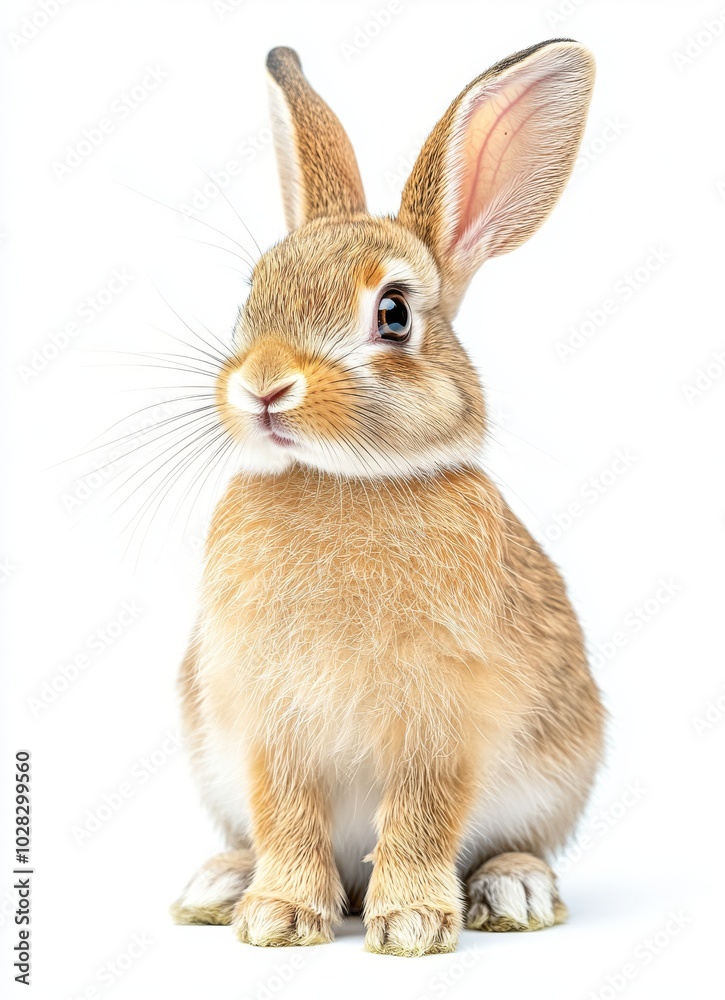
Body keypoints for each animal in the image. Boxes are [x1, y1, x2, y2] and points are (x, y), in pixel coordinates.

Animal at [170, 39, 605, 956]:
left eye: (395, 315)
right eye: (252, 293)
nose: (264, 386)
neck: (344, 480)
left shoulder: (440, 719)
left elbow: (421, 816)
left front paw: (409, 924)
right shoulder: (267, 719)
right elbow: (285, 813)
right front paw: (278, 916)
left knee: (517, 842)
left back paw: (512, 891)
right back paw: (221, 884)